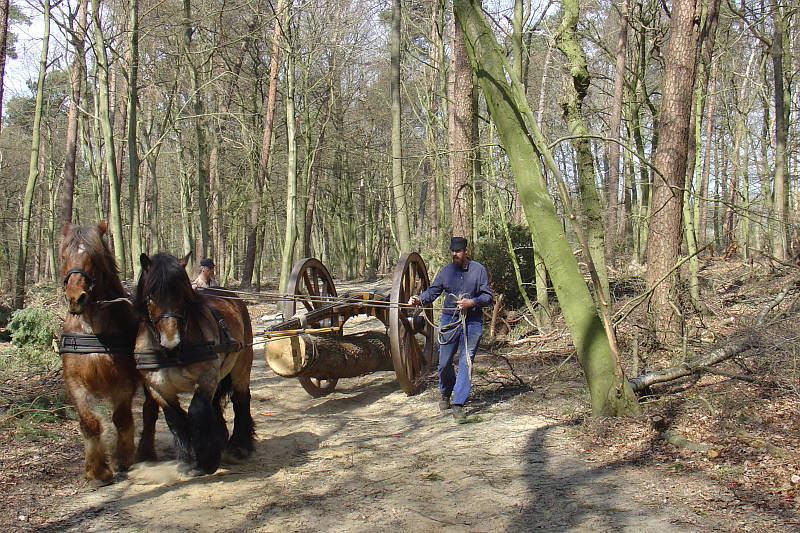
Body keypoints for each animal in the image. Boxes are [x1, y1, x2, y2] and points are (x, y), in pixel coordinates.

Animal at [59, 221, 159, 486]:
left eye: (94, 256)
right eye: (64, 255)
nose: (76, 297)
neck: (93, 328)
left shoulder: (122, 382)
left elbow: (122, 418)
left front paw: (123, 458)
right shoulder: (74, 382)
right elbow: (90, 422)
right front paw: (97, 470)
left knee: (150, 410)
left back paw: (146, 451)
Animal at [133, 251, 255, 476]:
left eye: (183, 294)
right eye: (150, 295)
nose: (171, 342)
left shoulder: (206, 377)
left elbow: (197, 411)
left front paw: (207, 460)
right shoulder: (158, 387)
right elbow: (175, 418)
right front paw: (190, 460)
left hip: (241, 364)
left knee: (241, 399)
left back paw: (239, 446)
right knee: (215, 403)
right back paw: (220, 438)